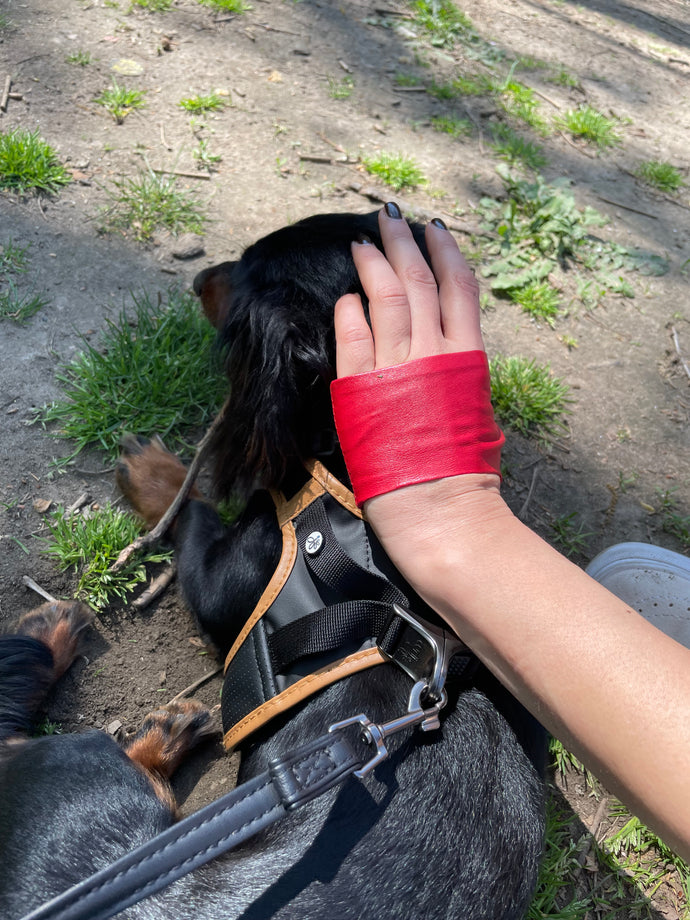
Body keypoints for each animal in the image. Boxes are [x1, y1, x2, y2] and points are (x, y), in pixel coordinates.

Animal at [0, 212, 544, 916]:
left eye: (248, 278)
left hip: (76, 771)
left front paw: (153, 470)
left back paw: (74, 649)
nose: (199, 279)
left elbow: (195, 508)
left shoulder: (225, 576)